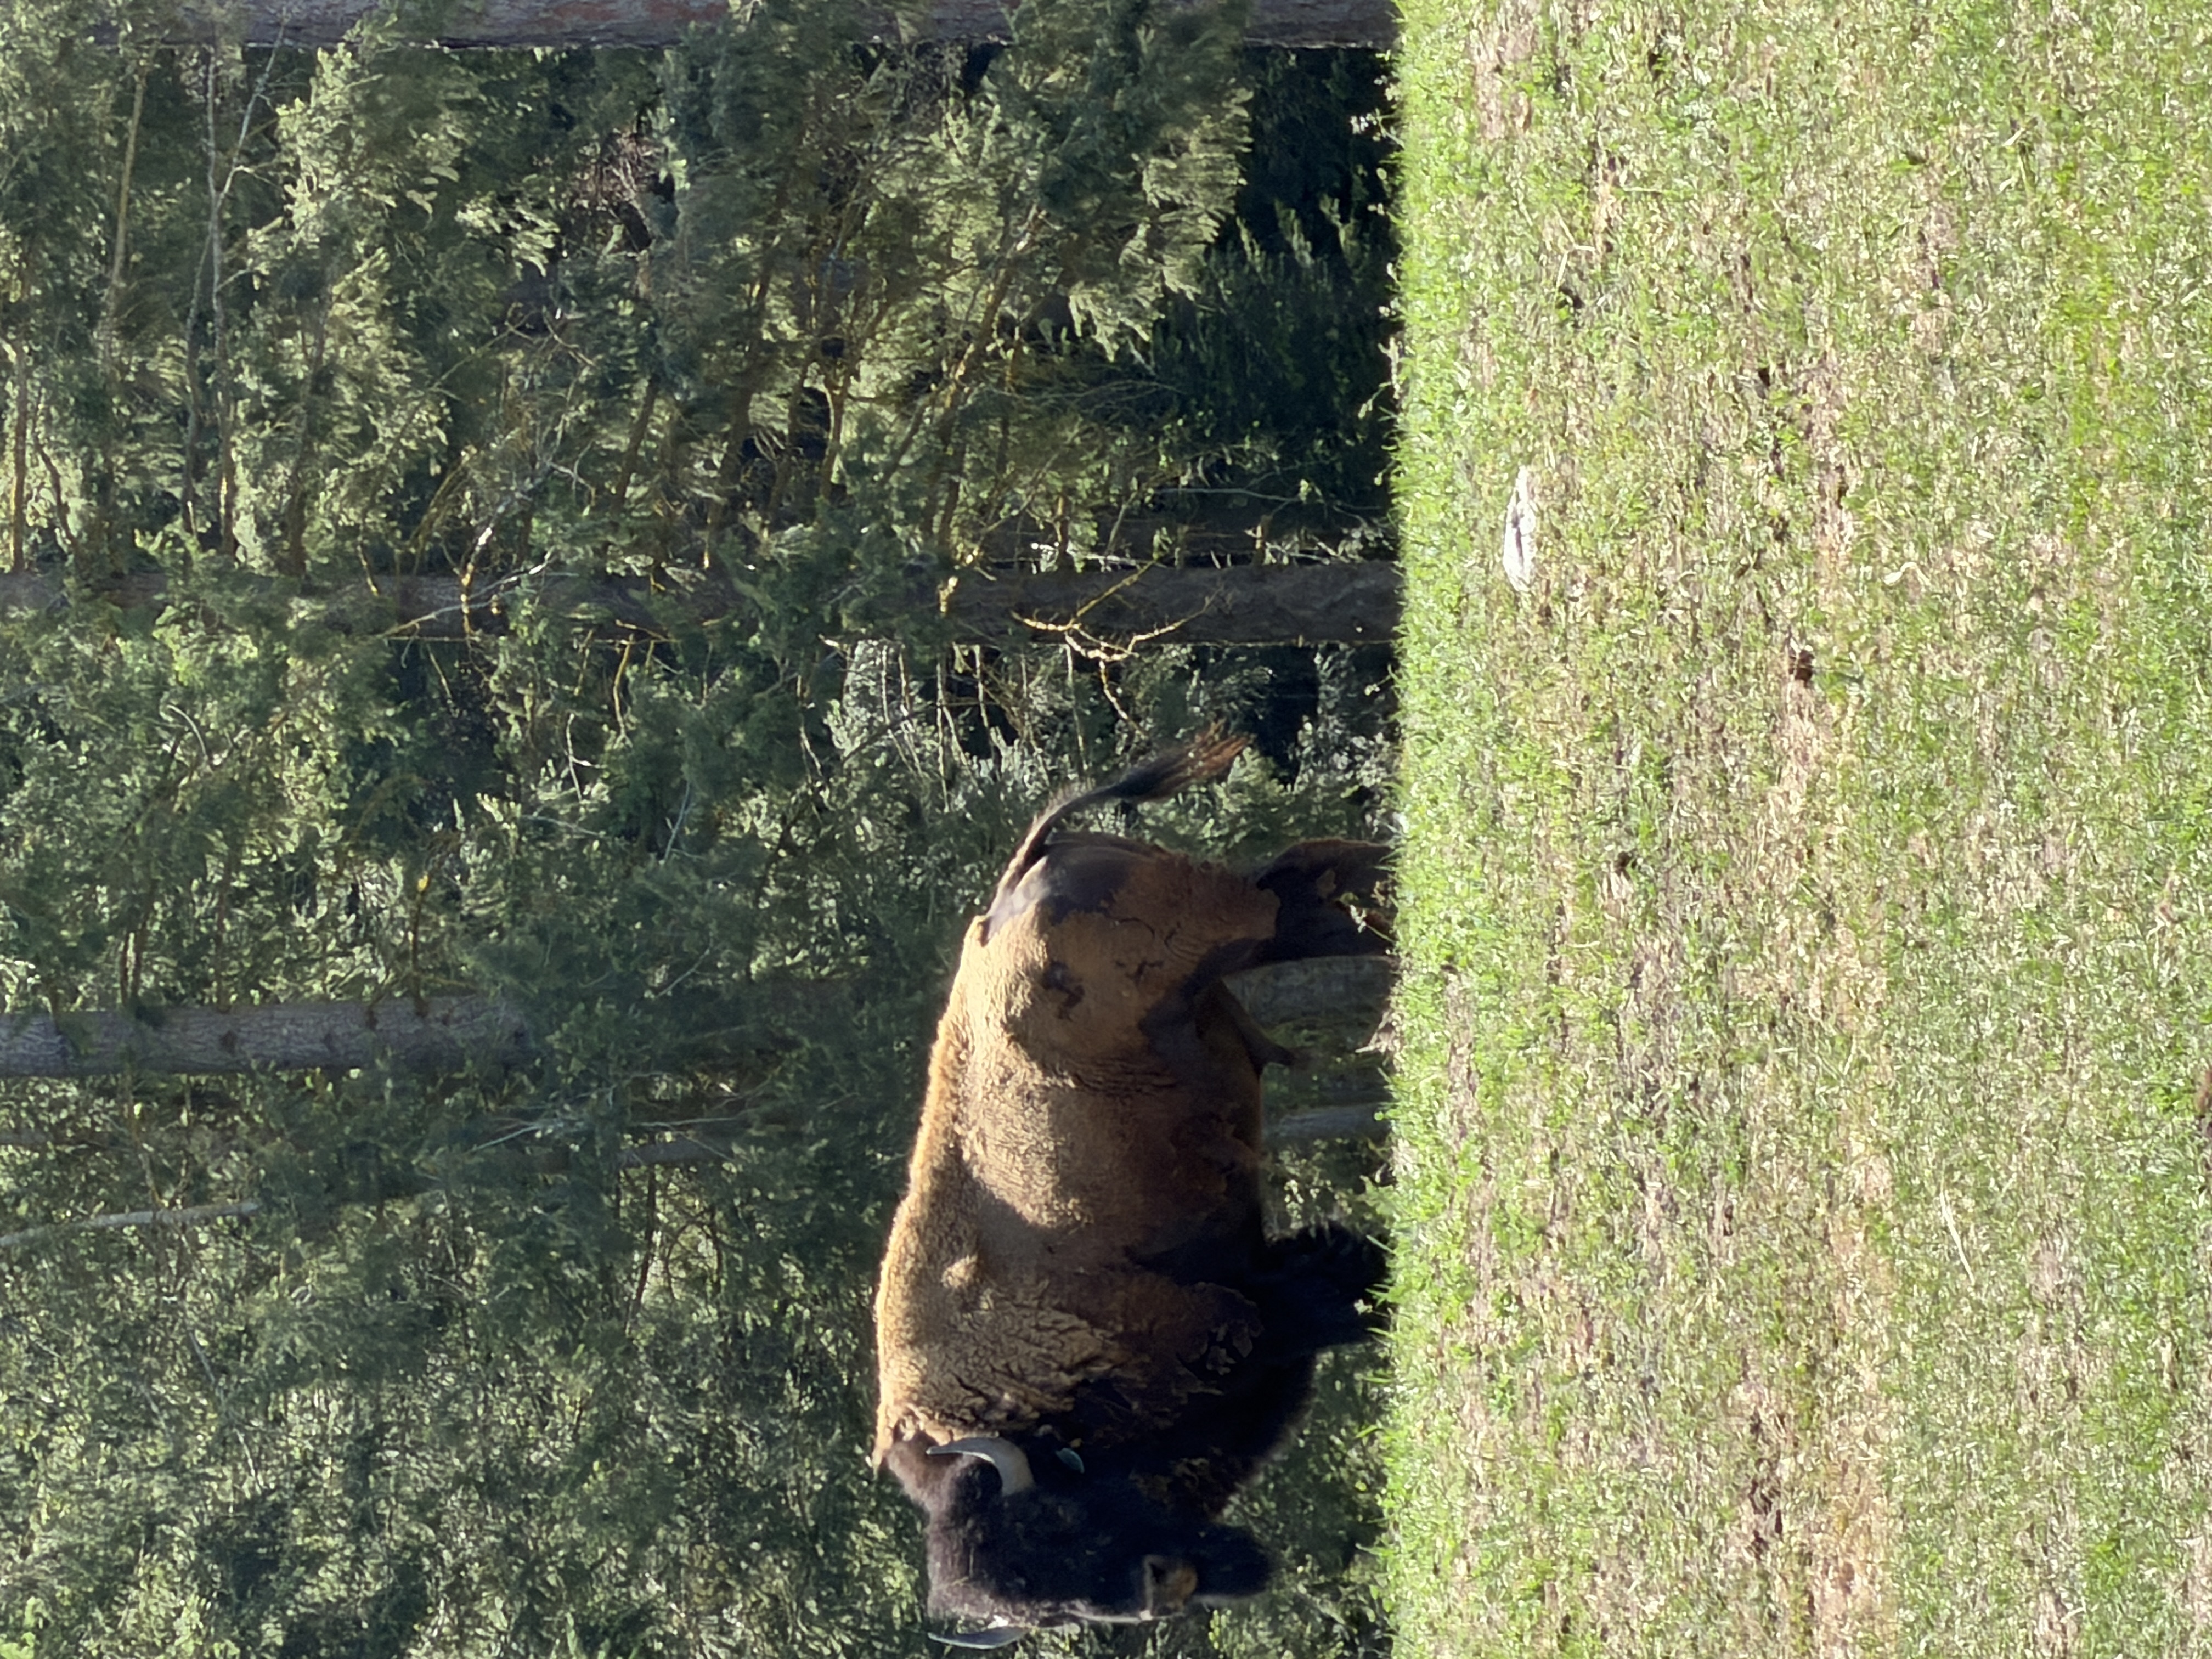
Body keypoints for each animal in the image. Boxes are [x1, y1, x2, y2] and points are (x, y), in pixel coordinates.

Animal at [872, 732, 1390, 1644]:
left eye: (1058, 1518)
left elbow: (1342, 1299)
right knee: (1321, 886)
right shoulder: (1264, 1289)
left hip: (1230, 933)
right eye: (1049, 1611)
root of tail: (1016, 881)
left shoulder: (1247, 1317)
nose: (1158, 1587)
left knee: (1303, 892)